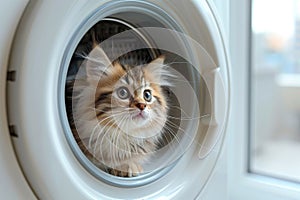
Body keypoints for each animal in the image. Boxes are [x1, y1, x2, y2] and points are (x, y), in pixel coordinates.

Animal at [71, 45, 172, 177]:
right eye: (122, 93)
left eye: (147, 95)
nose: (142, 105)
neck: (123, 136)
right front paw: (126, 166)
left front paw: (131, 164)